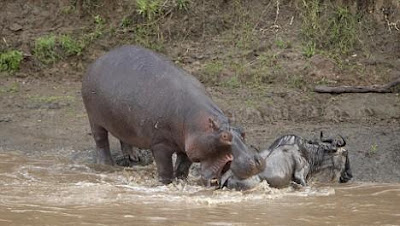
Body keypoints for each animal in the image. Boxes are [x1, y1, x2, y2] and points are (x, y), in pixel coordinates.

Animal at [81, 46, 264, 185]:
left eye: (243, 131)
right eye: (225, 136)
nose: (256, 160)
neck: (198, 122)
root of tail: (98, 59)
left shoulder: (189, 145)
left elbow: (183, 167)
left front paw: (182, 180)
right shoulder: (160, 144)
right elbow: (165, 168)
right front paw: (165, 183)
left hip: (122, 120)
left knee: (123, 137)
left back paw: (134, 157)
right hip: (94, 117)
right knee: (101, 141)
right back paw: (106, 164)